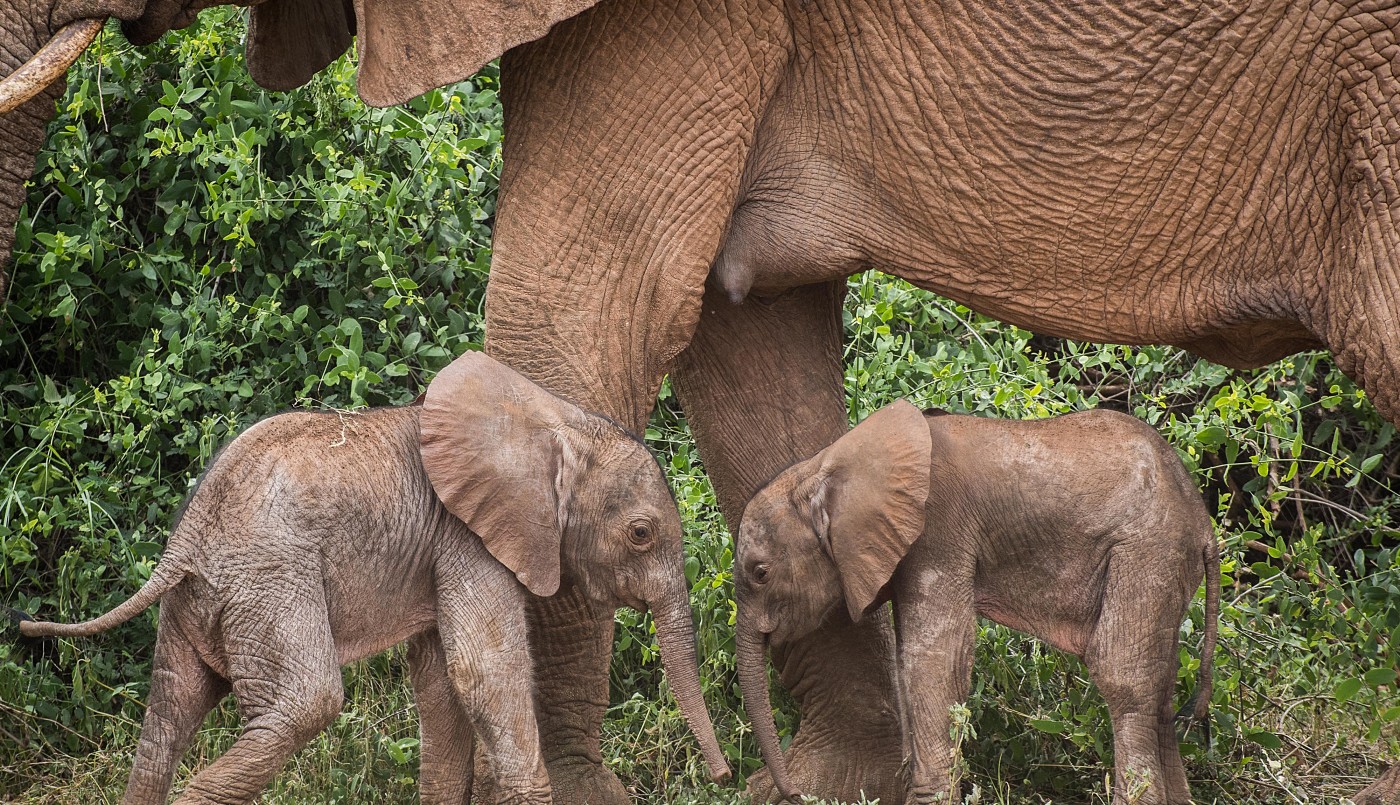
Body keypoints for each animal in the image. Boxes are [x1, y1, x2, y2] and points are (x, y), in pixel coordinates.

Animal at [15, 350, 729, 805]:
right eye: (642, 533)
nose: (724, 778)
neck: (554, 422)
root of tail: (185, 540)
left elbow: (442, 683)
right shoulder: (467, 538)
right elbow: (484, 670)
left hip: (204, 599)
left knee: (168, 715)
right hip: (268, 581)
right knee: (303, 703)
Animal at [732, 400, 1221, 805]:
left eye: (760, 572)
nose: (793, 795)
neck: (825, 466)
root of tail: (1203, 522)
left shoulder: (938, 531)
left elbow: (931, 661)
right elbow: (906, 660)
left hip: (1147, 550)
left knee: (1123, 676)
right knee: (1161, 688)